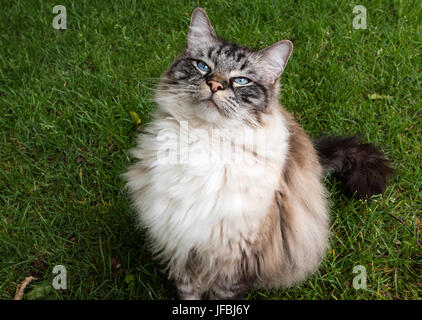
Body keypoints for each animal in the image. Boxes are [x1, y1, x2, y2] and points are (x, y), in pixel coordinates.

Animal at [123, 7, 394, 300]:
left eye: (241, 81)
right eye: (203, 66)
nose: (214, 84)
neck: (205, 139)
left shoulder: (236, 259)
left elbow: (222, 296)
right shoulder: (181, 246)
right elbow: (189, 294)